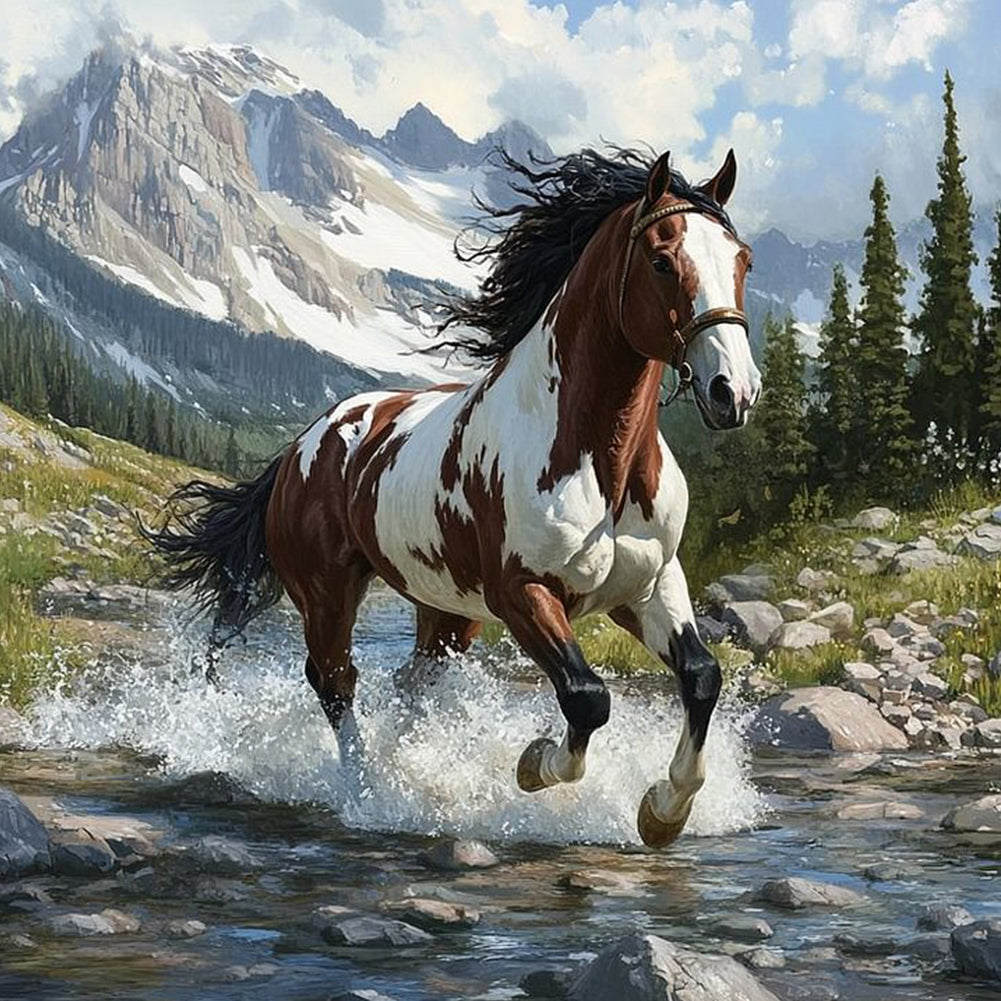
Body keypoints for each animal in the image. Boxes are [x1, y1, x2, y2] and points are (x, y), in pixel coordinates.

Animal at [146, 147, 761, 847]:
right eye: (662, 260)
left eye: (742, 259)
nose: (733, 391)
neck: (599, 463)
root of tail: (302, 447)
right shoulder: (522, 593)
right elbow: (586, 697)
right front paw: (534, 765)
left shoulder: (648, 586)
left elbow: (701, 678)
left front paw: (663, 810)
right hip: (328, 593)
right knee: (335, 681)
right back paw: (366, 793)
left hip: (445, 611)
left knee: (410, 680)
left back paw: (408, 778)